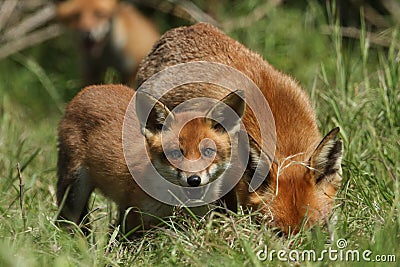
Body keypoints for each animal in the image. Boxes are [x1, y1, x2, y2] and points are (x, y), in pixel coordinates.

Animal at [55, 85, 244, 236]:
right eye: (175, 154)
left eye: (208, 151)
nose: (194, 180)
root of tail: (89, 88)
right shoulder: (136, 219)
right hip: (74, 190)